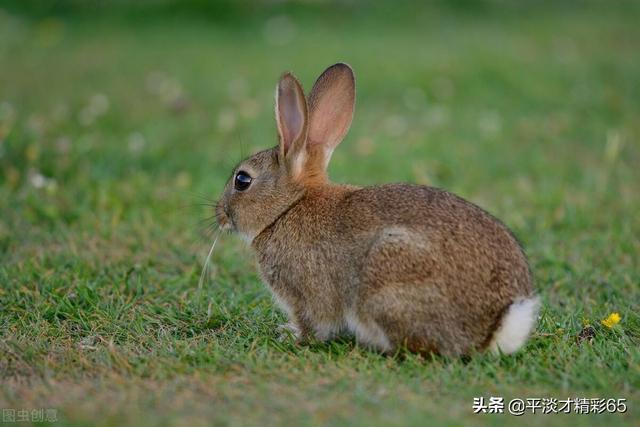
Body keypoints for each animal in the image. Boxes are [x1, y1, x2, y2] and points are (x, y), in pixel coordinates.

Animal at [216, 62, 540, 358]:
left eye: (242, 180)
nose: (219, 213)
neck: (287, 208)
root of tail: (495, 327)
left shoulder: (306, 296)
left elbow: (314, 325)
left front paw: (291, 336)